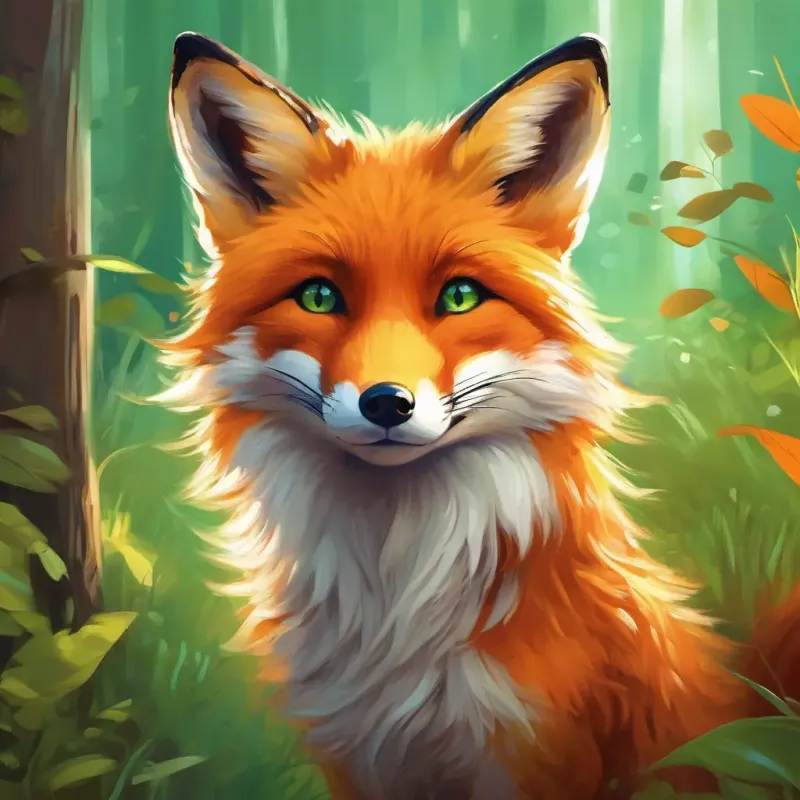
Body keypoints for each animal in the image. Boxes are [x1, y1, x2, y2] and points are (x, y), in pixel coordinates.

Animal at [159, 30, 800, 800]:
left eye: (460, 297)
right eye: (318, 297)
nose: (387, 402)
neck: (398, 608)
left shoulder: (533, 753)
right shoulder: (358, 756)